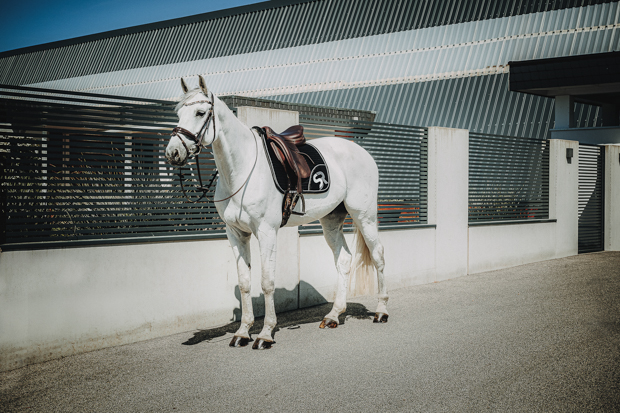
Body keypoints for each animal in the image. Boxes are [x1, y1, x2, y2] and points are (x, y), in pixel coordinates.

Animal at [165, 76, 388, 348]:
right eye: (179, 113)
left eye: (199, 112)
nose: (173, 153)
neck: (242, 169)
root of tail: (363, 153)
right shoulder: (235, 234)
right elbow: (245, 283)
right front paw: (243, 332)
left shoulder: (266, 232)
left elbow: (267, 282)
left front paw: (265, 333)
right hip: (331, 220)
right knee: (344, 260)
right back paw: (334, 315)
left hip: (364, 215)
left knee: (378, 255)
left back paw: (381, 311)